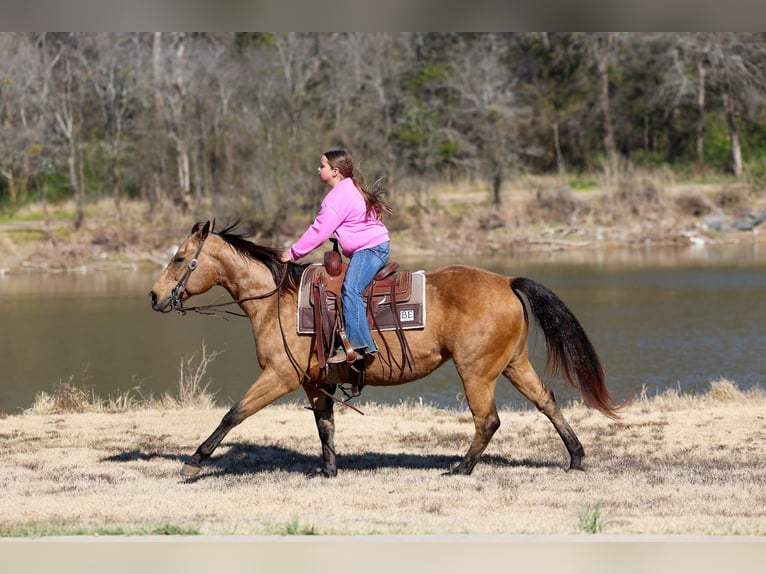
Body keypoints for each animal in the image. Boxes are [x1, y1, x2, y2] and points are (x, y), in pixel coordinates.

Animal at [149, 221, 619, 478]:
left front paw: (196, 459)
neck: (278, 301)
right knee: (547, 401)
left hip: (477, 371)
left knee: (488, 420)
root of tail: (505, 281)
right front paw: (329, 470)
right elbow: (325, 425)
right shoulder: (314, 382)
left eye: (179, 258)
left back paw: (461, 467)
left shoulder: (280, 376)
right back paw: (576, 457)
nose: (154, 296)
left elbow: (235, 413)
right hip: (513, 364)